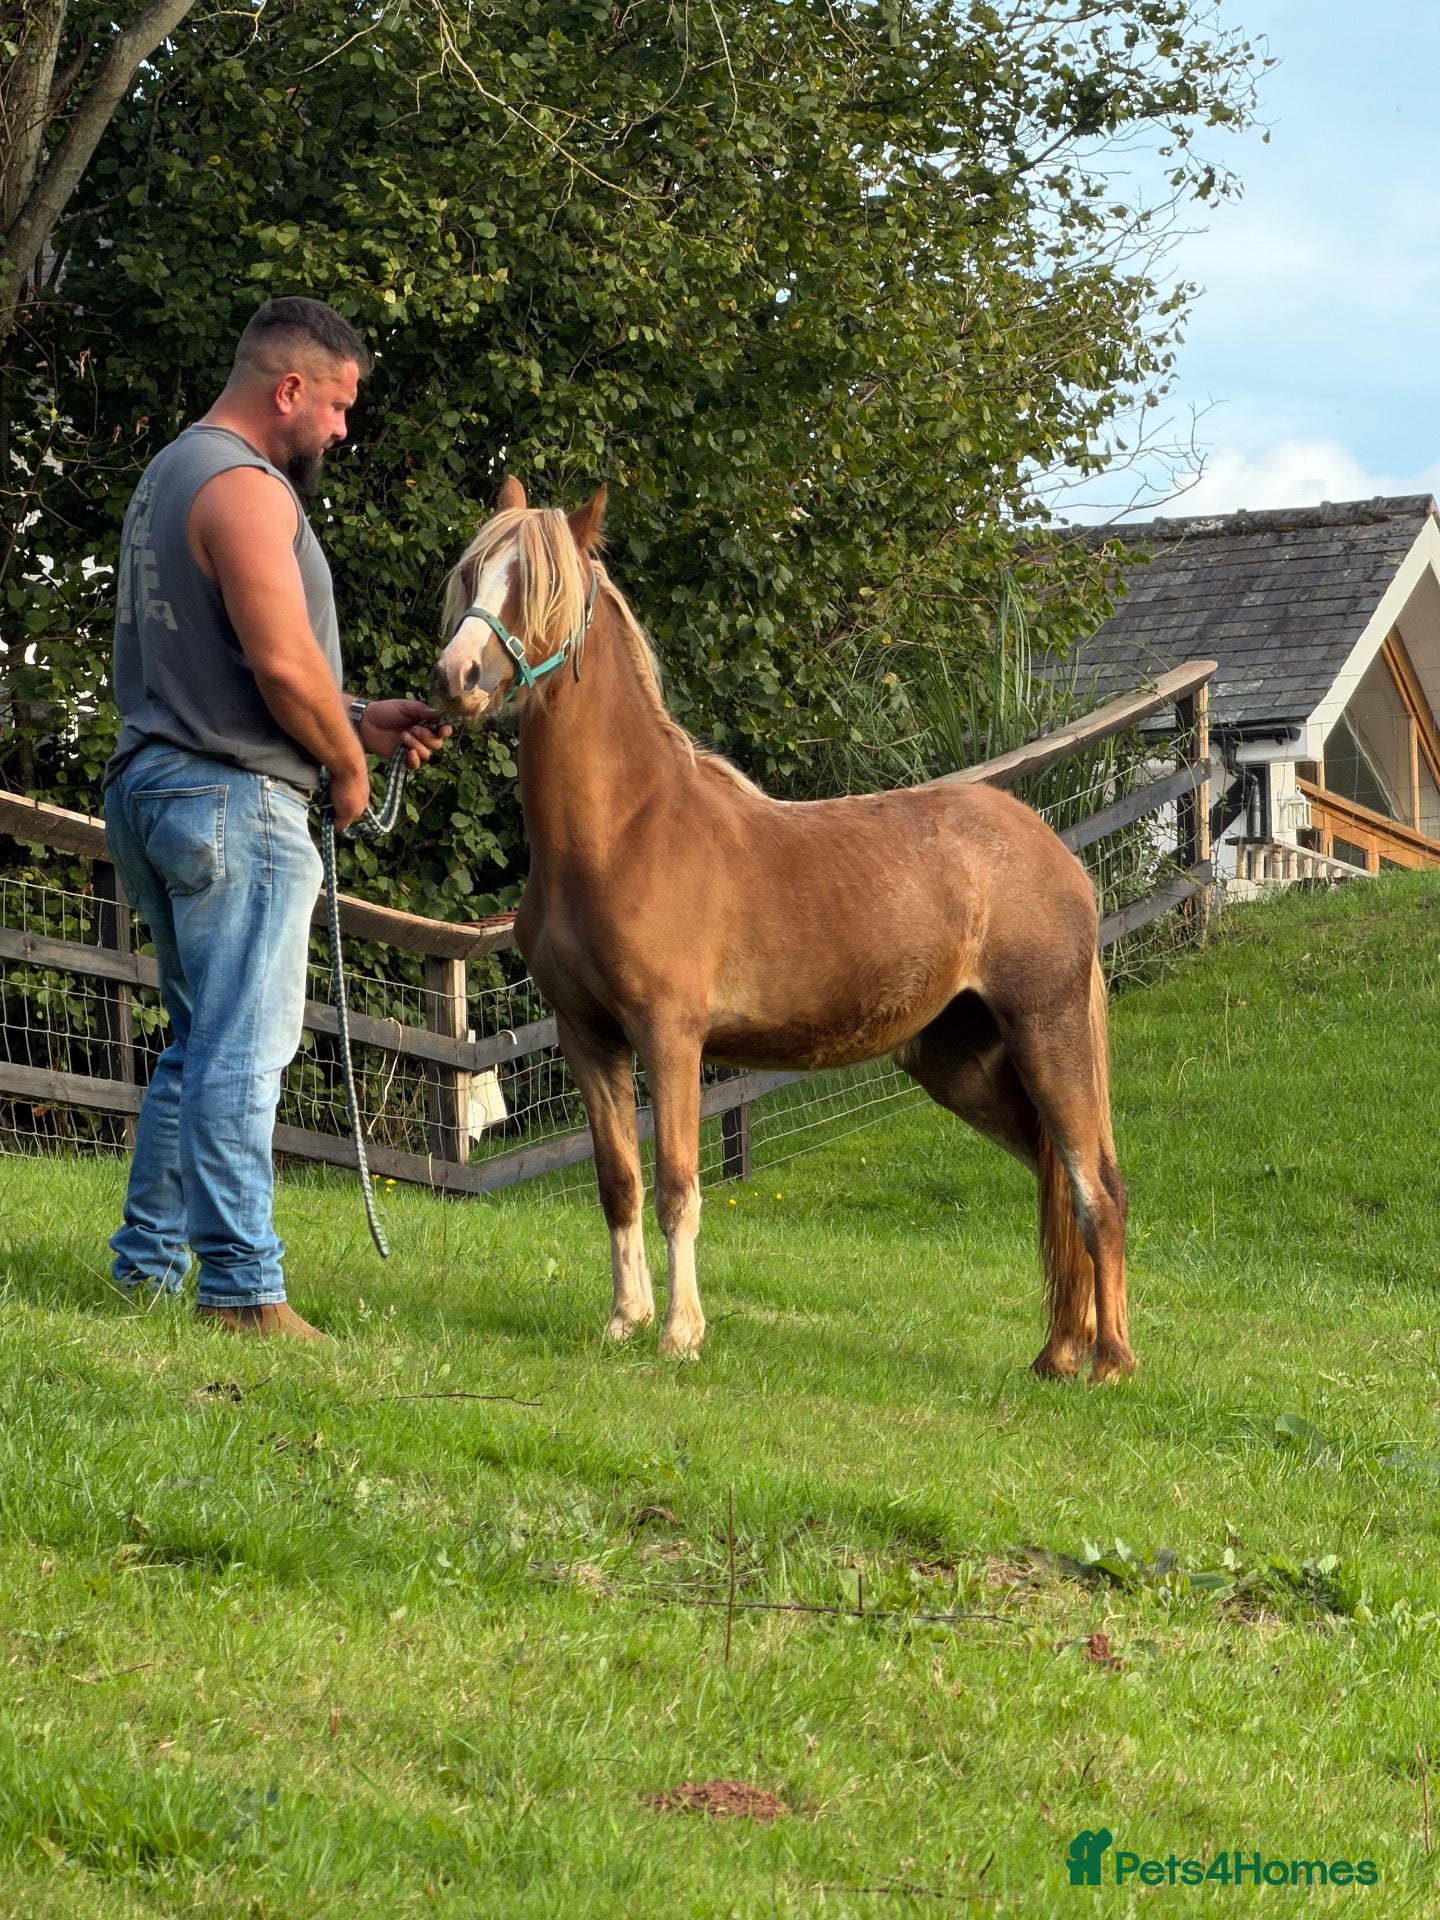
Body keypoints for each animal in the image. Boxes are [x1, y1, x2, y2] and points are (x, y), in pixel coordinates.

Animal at [430, 479, 1134, 1384]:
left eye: (542, 586)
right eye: (474, 572)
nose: (459, 675)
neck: (623, 834)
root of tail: (1054, 852)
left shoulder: (671, 1038)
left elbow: (677, 1186)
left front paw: (681, 1334)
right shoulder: (589, 1038)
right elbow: (619, 1183)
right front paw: (624, 1322)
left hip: (1048, 1031)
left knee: (1095, 1187)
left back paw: (1111, 1361)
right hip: (961, 1062)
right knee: (1054, 1178)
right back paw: (1059, 1352)